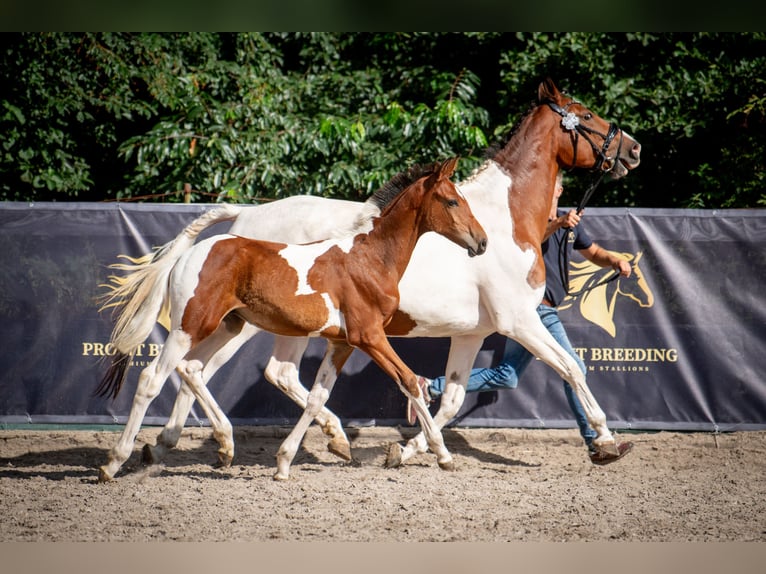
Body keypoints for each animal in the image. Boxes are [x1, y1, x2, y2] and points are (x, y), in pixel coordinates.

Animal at [96, 158, 488, 481]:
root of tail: (194, 252)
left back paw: (225, 445)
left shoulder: (342, 342)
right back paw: (114, 462)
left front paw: (287, 461)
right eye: (452, 201)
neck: (369, 259)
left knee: (192, 369)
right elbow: (408, 381)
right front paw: (442, 455)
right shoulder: (370, 336)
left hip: (229, 325)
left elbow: (316, 397)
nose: (482, 242)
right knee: (152, 378)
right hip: (190, 326)